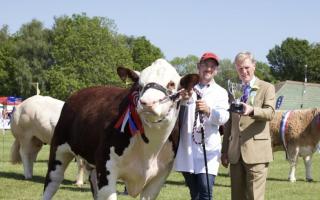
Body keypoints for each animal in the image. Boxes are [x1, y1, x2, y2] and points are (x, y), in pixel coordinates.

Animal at [42, 58, 198, 199]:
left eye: (171, 83)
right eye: (139, 85)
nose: (146, 103)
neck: (149, 150)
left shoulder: (159, 177)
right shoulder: (106, 169)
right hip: (58, 149)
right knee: (52, 182)